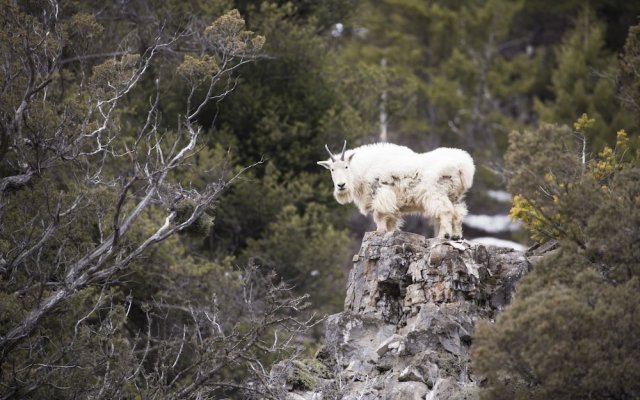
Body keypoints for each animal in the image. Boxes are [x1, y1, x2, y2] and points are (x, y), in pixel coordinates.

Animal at [318, 142, 476, 239]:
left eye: (346, 166)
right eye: (332, 169)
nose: (341, 185)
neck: (364, 170)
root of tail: (463, 167)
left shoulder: (382, 194)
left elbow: (380, 215)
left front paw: (379, 231)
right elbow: (391, 220)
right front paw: (390, 232)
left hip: (437, 193)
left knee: (445, 211)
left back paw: (444, 235)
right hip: (454, 195)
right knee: (458, 212)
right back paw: (456, 236)